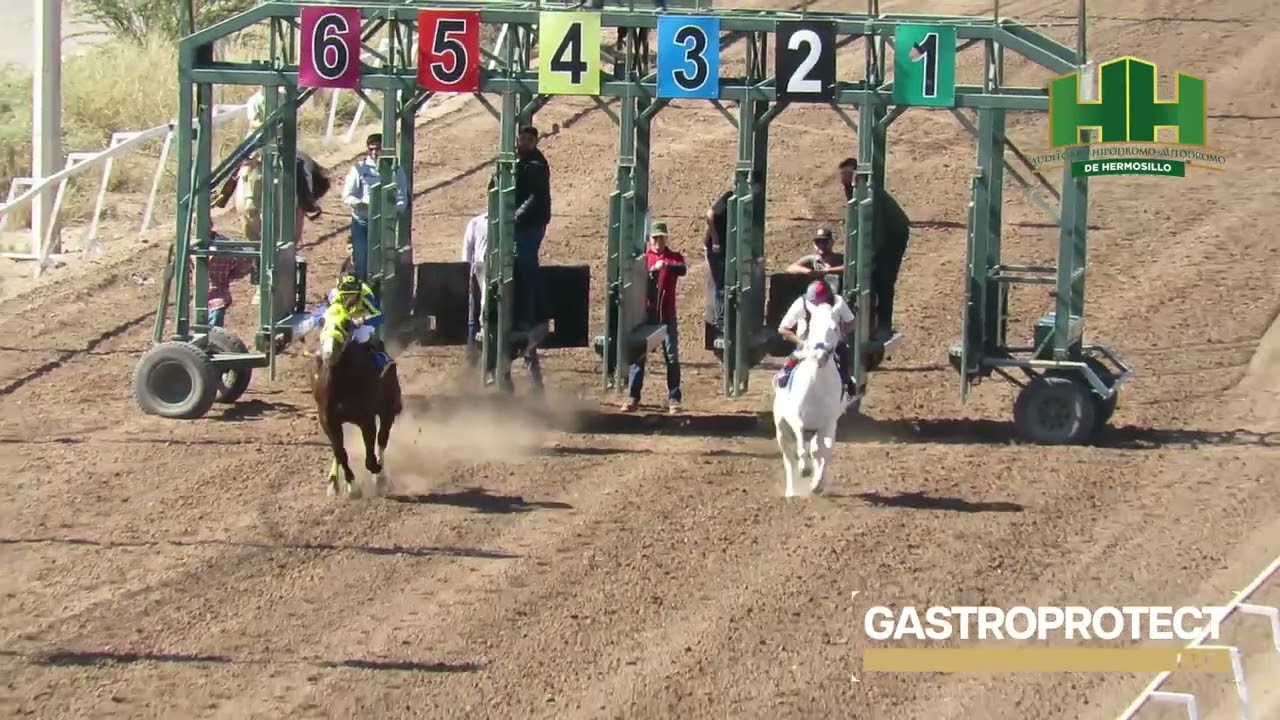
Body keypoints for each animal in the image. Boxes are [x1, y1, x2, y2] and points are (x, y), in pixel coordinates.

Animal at [312, 303, 403, 499]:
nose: (329, 353)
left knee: (382, 439)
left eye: (346, 323)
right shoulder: (328, 419)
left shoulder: (366, 418)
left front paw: (376, 469)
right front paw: (351, 486)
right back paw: (333, 482)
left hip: (388, 408)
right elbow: (340, 452)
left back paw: (381, 478)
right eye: (322, 322)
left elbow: (370, 453)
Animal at [772, 302, 846, 498]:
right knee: (789, 458)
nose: (821, 356)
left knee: (816, 451)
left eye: (835, 328)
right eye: (812, 326)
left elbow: (826, 451)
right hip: (782, 430)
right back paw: (791, 492)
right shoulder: (797, 419)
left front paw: (817, 484)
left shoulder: (828, 423)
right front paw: (804, 468)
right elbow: (799, 441)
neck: (816, 386)